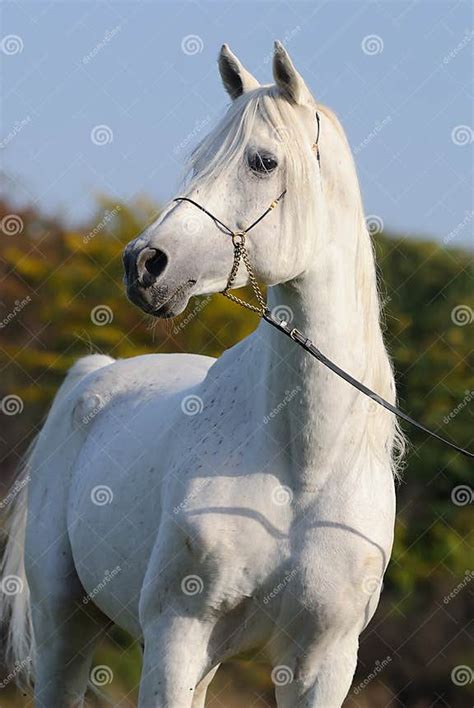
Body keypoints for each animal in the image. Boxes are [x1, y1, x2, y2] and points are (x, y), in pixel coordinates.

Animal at [2, 41, 404, 704]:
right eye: (199, 158)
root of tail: (93, 378)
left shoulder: (322, 662)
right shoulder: (177, 633)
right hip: (65, 624)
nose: (144, 263)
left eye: (264, 161)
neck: (302, 466)